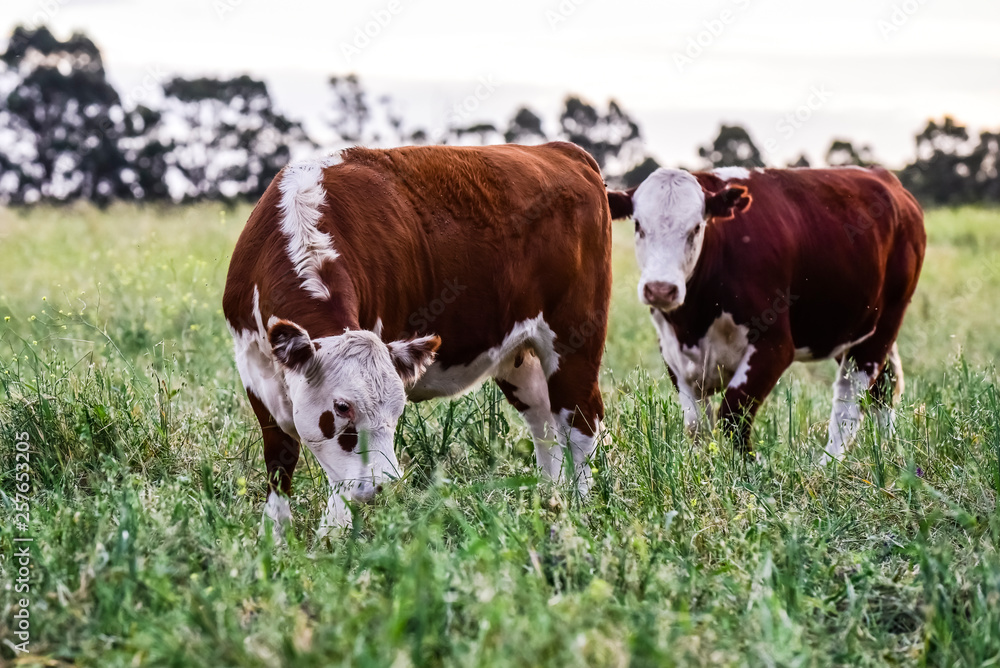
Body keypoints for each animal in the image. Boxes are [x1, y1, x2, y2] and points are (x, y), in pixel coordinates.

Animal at [227, 144, 612, 536]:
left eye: (397, 410)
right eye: (342, 407)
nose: (383, 485)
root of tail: (560, 150)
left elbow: (338, 481)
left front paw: (332, 535)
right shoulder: (255, 371)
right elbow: (280, 459)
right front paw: (275, 536)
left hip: (575, 339)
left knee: (580, 422)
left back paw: (579, 508)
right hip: (520, 356)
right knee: (543, 422)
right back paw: (551, 497)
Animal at [608, 166, 928, 464]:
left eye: (696, 227)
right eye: (639, 225)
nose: (660, 289)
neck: (693, 323)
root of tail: (884, 176)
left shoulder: (774, 346)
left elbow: (733, 414)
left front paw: (750, 465)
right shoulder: (672, 353)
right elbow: (697, 426)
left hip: (885, 322)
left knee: (851, 397)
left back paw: (829, 463)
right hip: (848, 326)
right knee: (881, 388)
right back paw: (888, 449)